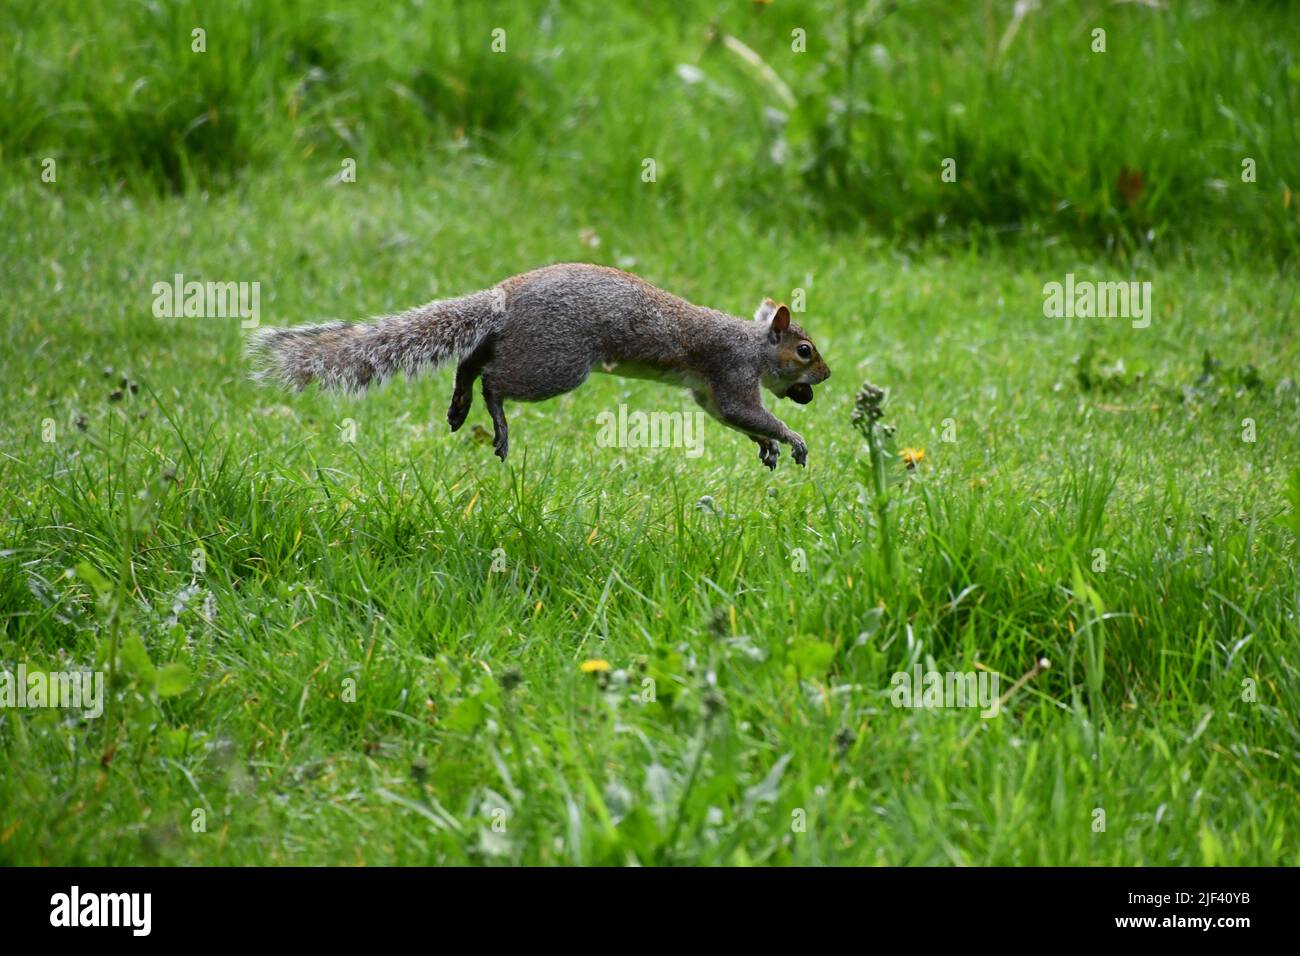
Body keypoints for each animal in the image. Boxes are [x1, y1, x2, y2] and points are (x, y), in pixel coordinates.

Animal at [248, 261, 826, 470]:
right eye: (805, 350)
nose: (825, 377)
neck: (752, 345)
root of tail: (505, 296)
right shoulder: (729, 371)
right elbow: (745, 410)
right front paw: (792, 440)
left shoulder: (707, 392)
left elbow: (732, 418)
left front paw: (768, 446)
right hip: (559, 362)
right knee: (494, 378)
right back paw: (493, 419)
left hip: (524, 344)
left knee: (470, 360)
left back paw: (458, 407)